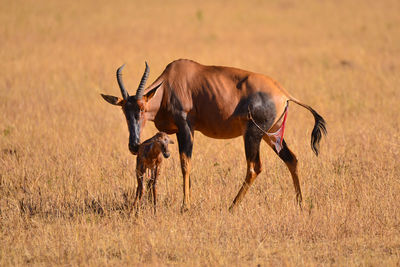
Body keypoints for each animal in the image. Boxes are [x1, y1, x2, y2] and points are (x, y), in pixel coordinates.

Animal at [101, 59, 326, 214]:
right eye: (124, 110)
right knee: (292, 159)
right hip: (271, 135)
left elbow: (185, 164)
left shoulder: (185, 127)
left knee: (254, 167)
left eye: (141, 108)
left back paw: (231, 206)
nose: (133, 145)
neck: (169, 85)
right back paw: (300, 204)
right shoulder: (185, 132)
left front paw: (185, 206)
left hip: (253, 134)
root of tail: (284, 93)